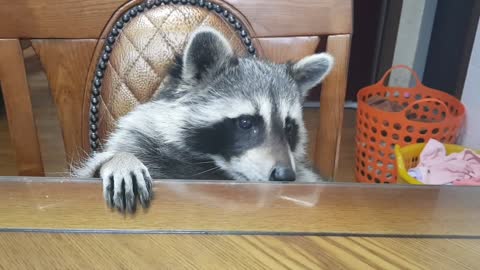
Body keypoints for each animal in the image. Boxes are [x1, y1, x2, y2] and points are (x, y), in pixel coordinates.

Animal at [73, 27, 334, 213]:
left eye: (289, 127)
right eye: (246, 123)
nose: (285, 176)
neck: (210, 168)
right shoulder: (139, 139)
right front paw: (120, 159)